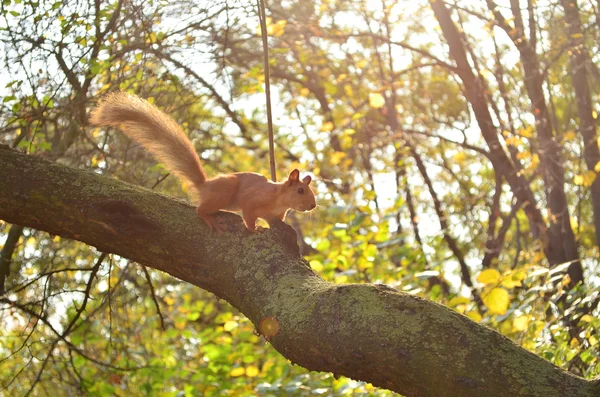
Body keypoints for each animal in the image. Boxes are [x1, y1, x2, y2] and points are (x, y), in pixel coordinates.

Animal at [89, 92, 316, 232]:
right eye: (300, 190)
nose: (313, 205)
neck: (279, 200)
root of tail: (205, 185)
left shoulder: (276, 217)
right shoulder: (252, 201)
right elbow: (249, 217)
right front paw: (256, 230)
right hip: (226, 188)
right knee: (200, 210)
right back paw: (211, 220)